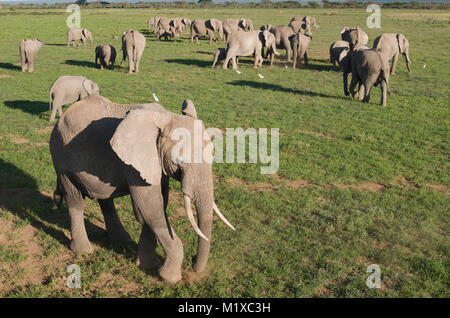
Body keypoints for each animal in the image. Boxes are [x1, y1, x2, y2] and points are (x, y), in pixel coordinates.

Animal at [48, 95, 236, 284]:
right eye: (179, 161)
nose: (194, 261)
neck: (167, 117)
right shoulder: (134, 160)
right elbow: (149, 205)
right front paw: (169, 277)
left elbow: (158, 203)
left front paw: (147, 265)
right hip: (61, 157)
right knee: (74, 198)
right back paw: (84, 250)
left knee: (105, 199)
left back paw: (122, 241)